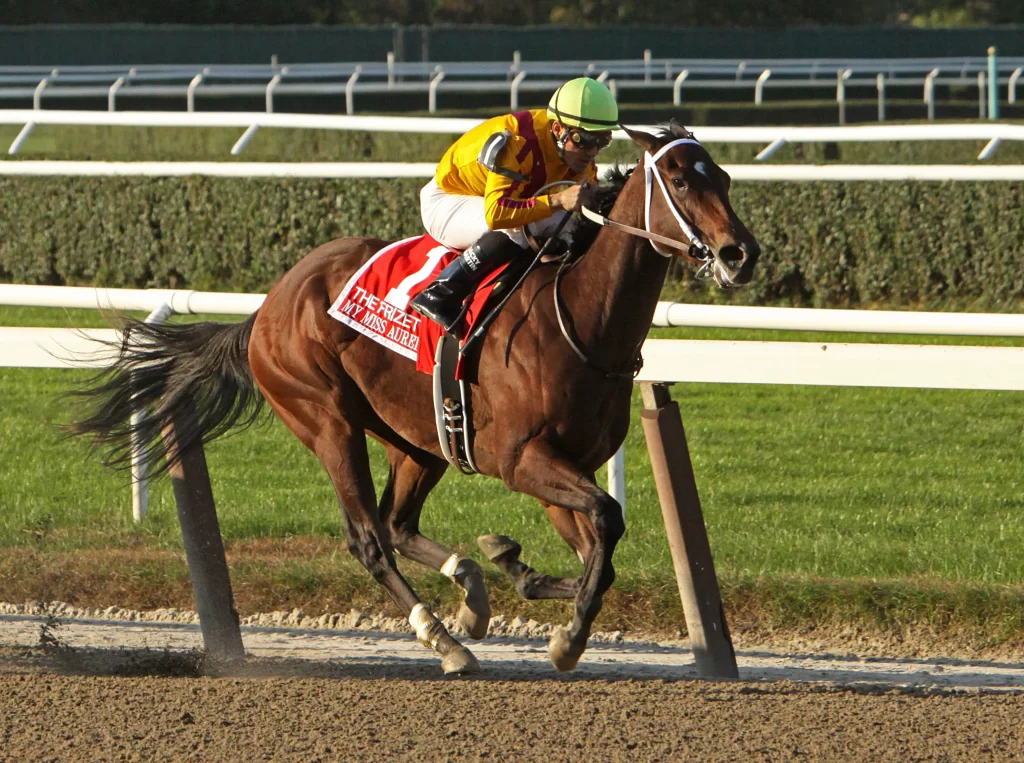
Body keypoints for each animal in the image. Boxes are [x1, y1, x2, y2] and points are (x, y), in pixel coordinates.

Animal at [72, 123, 757, 671]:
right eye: (679, 179)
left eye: (723, 176)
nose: (739, 254)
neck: (582, 319)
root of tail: (267, 308)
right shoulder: (522, 460)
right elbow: (608, 523)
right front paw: (566, 639)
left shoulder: (567, 466)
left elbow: (601, 553)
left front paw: (516, 569)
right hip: (326, 419)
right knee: (370, 539)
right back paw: (444, 640)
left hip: (417, 438)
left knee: (399, 523)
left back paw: (472, 592)